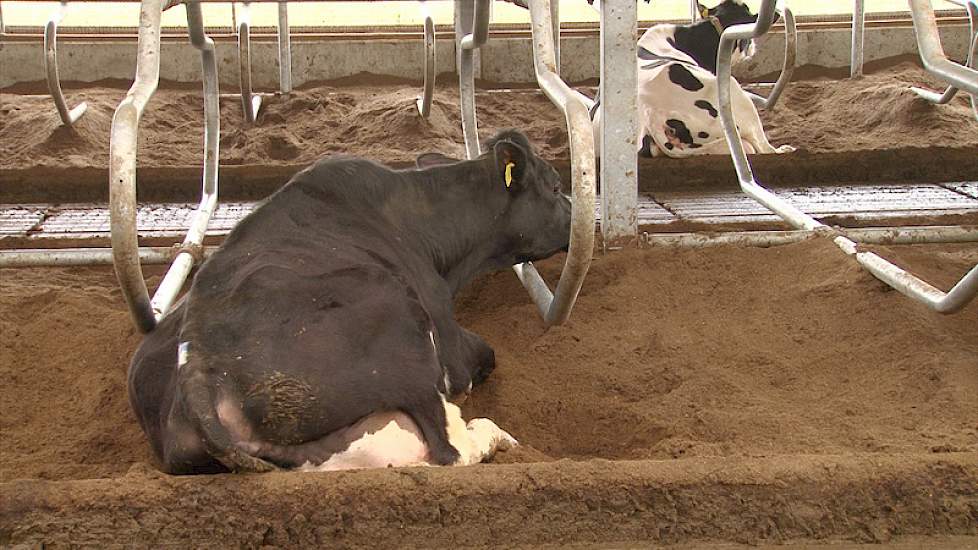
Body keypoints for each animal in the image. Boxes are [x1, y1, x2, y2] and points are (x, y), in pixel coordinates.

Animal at [130, 129, 572, 474]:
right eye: (554, 186)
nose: (575, 214)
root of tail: (196, 361)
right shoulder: (446, 334)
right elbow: (482, 356)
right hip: (397, 318)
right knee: (449, 449)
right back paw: (497, 436)